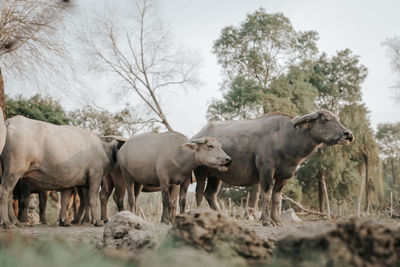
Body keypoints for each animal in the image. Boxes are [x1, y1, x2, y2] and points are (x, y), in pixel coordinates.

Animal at [193, 110, 354, 227]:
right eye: (325, 119)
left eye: (337, 118)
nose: (348, 134)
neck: (286, 138)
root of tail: (198, 135)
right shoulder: (266, 171)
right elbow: (266, 194)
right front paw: (266, 221)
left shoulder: (284, 176)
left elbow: (277, 197)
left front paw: (277, 220)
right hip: (201, 171)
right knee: (200, 192)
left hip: (215, 175)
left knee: (210, 194)